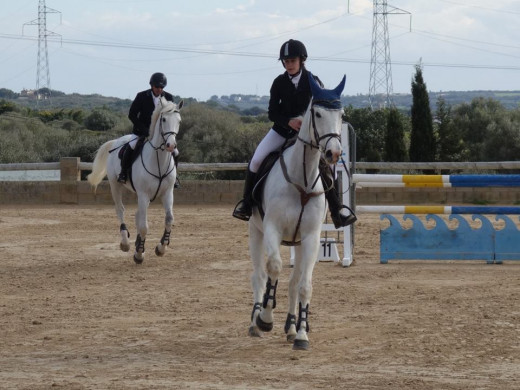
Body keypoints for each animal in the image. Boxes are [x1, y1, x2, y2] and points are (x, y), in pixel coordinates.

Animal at [89, 96, 185, 264]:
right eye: (164, 119)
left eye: (179, 121)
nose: (171, 145)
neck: (158, 160)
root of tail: (117, 141)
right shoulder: (143, 194)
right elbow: (144, 226)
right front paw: (139, 254)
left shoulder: (167, 193)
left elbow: (169, 220)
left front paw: (161, 248)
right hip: (115, 186)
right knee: (121, 210)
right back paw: (125, 243)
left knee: (137, 214)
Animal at [248, 73, 346, 350]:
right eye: (318, 114)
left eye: (342, 114)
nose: (334, 153)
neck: (301, 179)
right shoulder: (271, 228)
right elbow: (274, 267)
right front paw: (266, 317)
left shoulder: (311, 237)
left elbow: (303, 286)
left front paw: (301, 333)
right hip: (256, 232)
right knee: (259, 275)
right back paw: (255, 321)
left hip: (299, 243)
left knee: (293, 282)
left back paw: (292, 327)